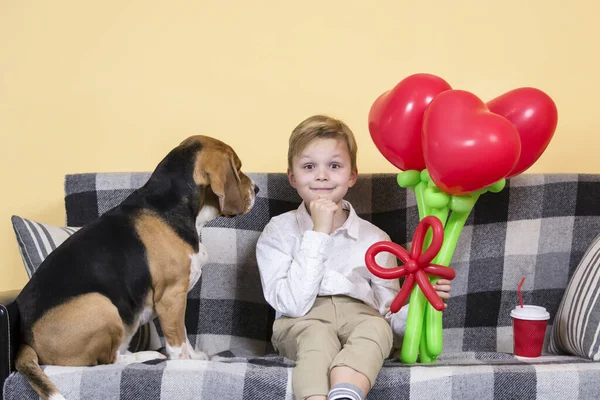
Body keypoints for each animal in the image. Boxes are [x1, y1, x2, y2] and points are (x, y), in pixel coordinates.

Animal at [13, 136, 258, 398]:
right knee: (109, 360)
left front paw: (194, 356)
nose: (257, 189)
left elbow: (184, 334)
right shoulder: (171, 296)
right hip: (101, 304)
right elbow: (178, 341)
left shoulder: (177, 300)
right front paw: (185, 363)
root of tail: (25, 341)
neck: (169, 204)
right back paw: (145, 355)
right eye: (238, 168)